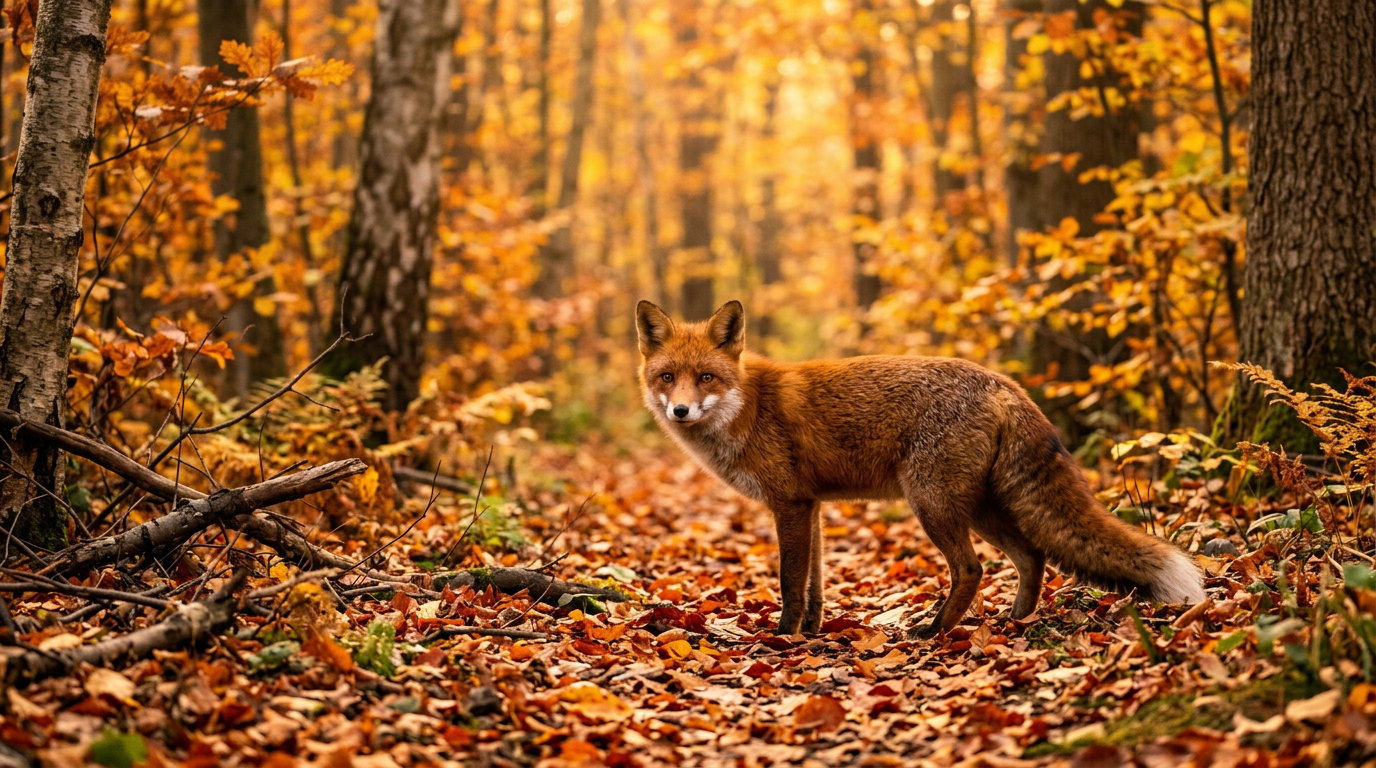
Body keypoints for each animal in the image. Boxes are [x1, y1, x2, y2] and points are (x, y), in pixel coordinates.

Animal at [636, 299, 1207, 638]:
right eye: (667, 377)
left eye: (706, 377)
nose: (679, 410)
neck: (748, 408)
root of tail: (1003, 382)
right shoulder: (811, 505)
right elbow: (817, 583)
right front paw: (813, 631)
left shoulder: (790, 505)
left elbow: (791, 581)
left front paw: (784, 636)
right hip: (980, 508)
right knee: (1032, 558)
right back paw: (1015, 620)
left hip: (933, 504)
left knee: (972, 569)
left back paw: (934, 631)